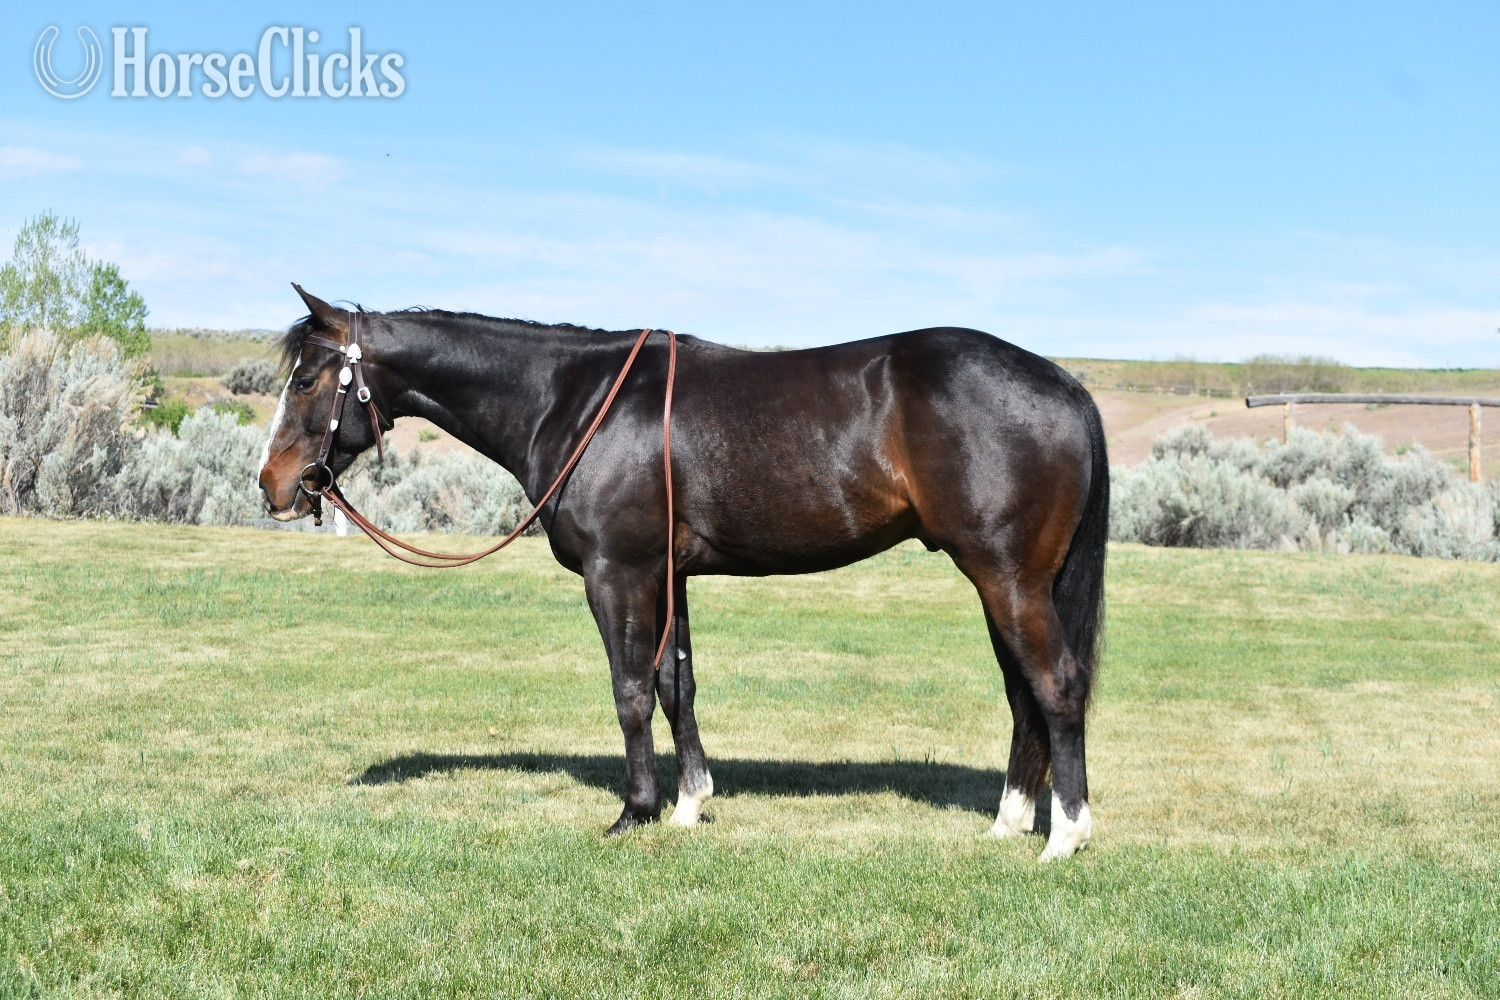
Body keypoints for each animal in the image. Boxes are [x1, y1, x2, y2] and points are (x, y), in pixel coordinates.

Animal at [258, 286, 1109, 861]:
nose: (272, 484)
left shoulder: (617, 572)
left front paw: (634, 811)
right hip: (1003, 583)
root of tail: (1065, 385)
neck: (576, 402)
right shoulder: (668, 576)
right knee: (1024, 697)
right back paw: (1008, 823)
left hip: (1007, 577)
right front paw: (691, 805)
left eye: (306, 381)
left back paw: (1063, 836)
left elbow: (631, 691)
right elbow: (677, 685)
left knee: (1056, 685)